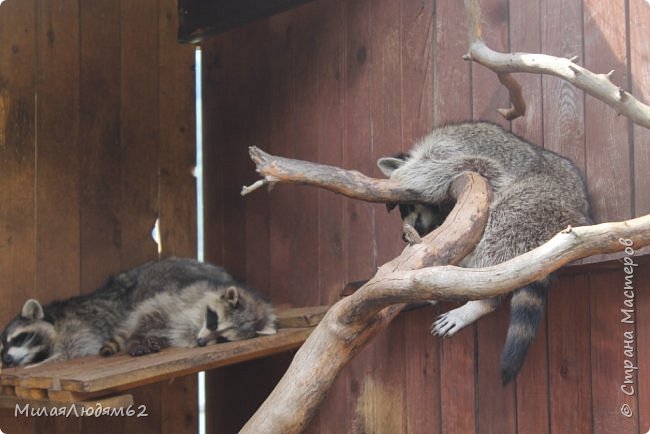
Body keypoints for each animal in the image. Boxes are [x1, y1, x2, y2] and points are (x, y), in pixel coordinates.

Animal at [374, 120, 592, 384]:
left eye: (407, 207)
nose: (405, 234)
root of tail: (579, 214)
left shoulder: (457, 152)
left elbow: (463, 165)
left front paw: (404, 174)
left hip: (538, 201)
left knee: (502, 225)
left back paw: (480, 300)